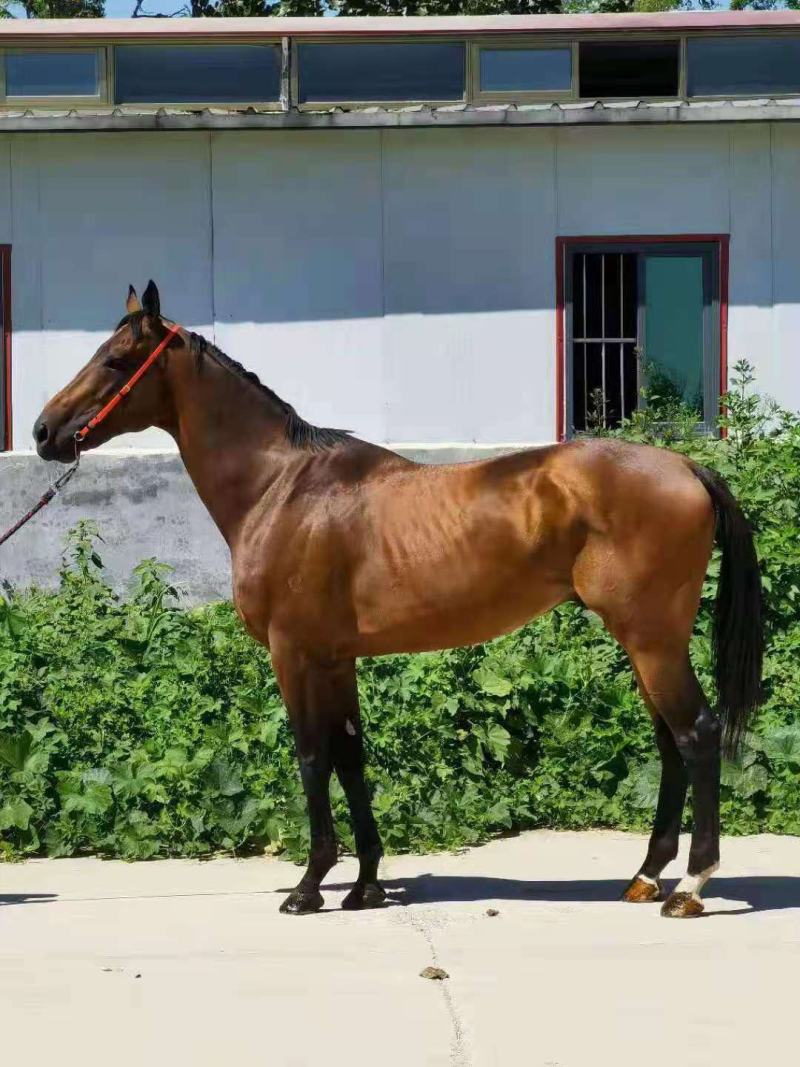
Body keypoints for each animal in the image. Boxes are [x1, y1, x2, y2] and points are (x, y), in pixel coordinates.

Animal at [33, 281, 764, 919]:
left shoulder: (293, 653)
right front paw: (365, 884)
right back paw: (645, 875)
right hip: (644, 643)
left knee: (695, 734)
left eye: (115, 359)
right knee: (669, 741)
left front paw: (308, 886)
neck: (282, 488)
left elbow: (311, 756)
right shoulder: (336, 658)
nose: (44, 431)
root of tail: (684, 466)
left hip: (651, 639)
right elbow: (351, 757)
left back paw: (690, 884)